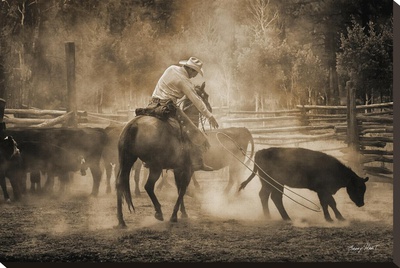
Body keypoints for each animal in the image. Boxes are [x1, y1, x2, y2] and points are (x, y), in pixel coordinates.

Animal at [238, 147, 368, 222]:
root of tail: (260, 152)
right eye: (358, 188)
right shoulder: (322, 190)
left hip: (272, 183)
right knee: (273, 197)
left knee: (268, 196)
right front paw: (334, 218)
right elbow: (330, 203)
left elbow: (327, 203)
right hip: (272, 183)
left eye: (364, 189)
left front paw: (334, 217)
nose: (362, 204)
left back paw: (271, 216)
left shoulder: (322, 191)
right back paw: (284, 217)